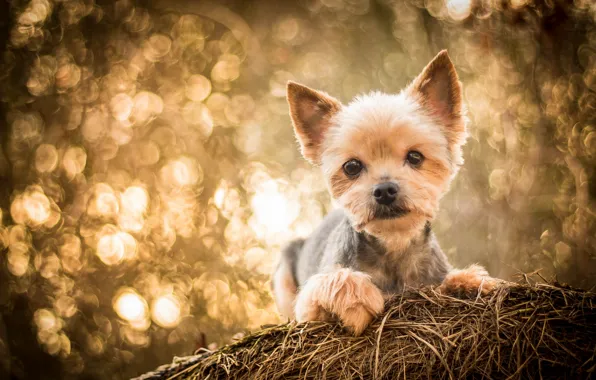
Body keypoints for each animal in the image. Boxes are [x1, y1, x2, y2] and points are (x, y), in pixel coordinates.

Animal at [272, 50, 496, 336]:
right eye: (352, 166)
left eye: (415, 156)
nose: (385, 190)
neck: (393, 245)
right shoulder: (309, 304)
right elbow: (333, 281)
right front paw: (357, 299)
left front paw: (469, 281)